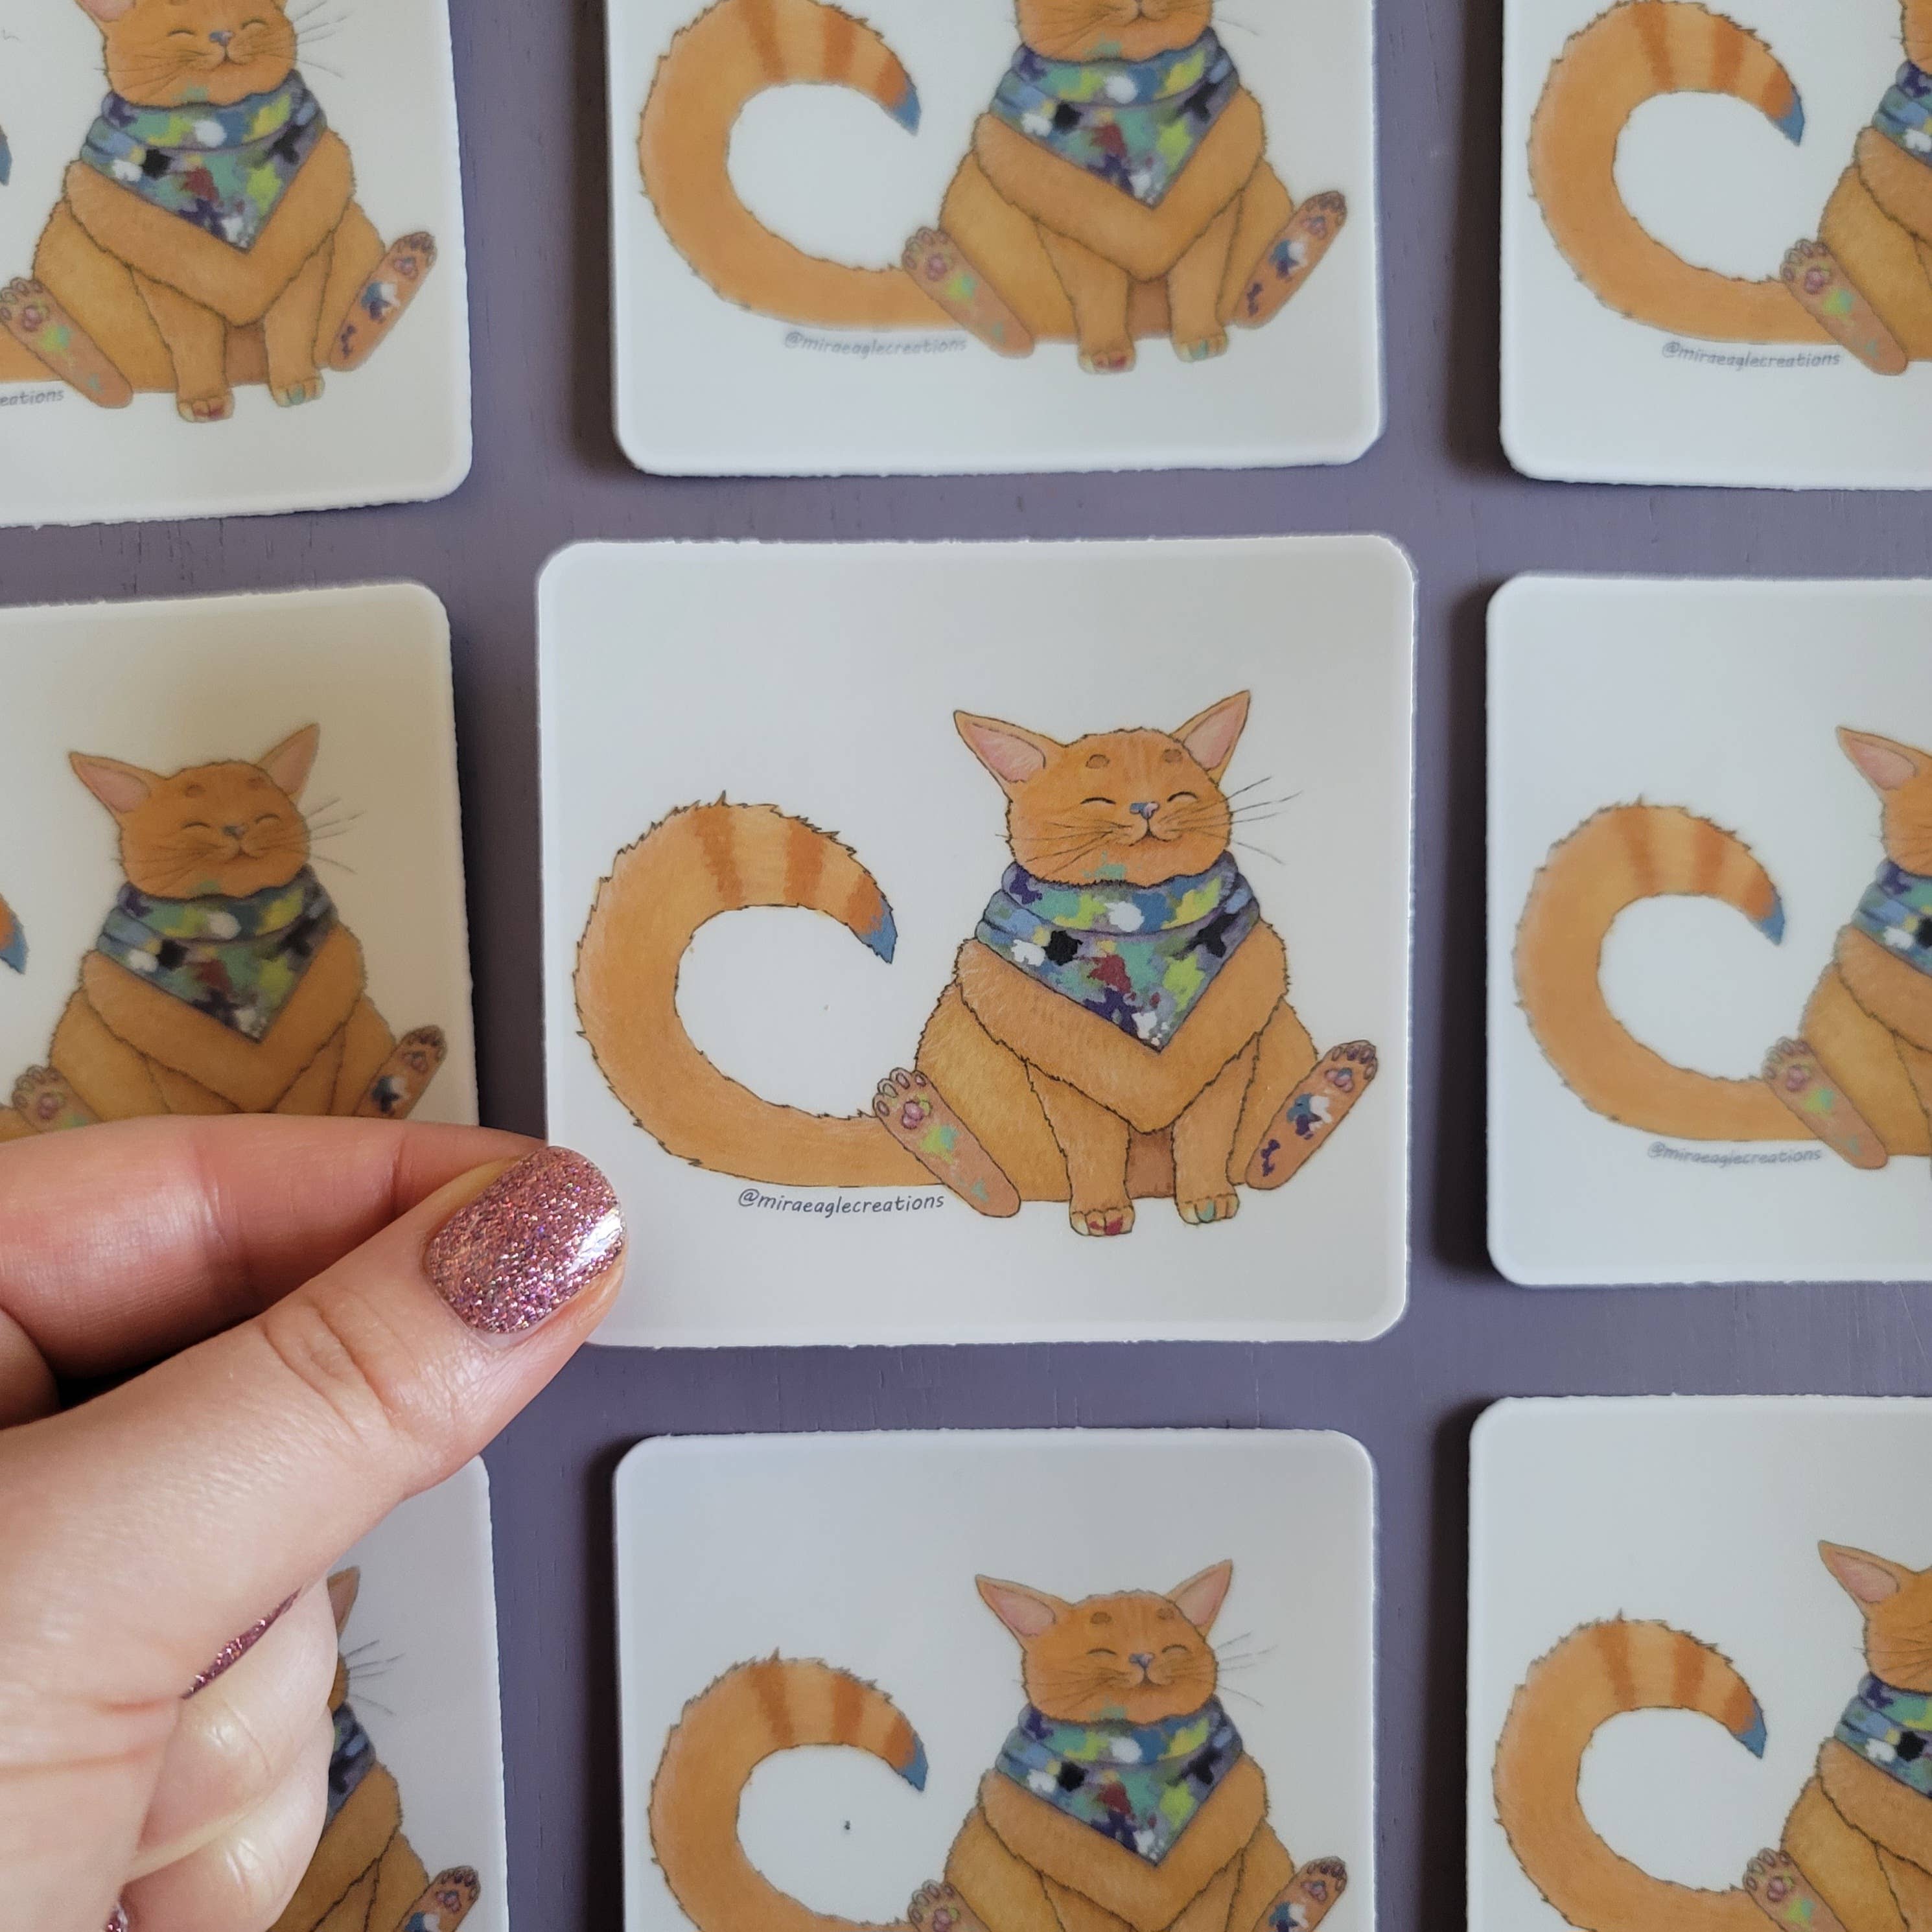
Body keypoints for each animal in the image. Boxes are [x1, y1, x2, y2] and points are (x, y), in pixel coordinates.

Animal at [0, 0, 438, 420]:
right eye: (180, 31)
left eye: (252, 23)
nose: (223, 34)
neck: (220, 139)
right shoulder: (168, 281)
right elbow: (193, 342)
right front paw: (205, 399)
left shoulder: (308, 255)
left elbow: (293, 327)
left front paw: (296, 382)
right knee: (116, 392)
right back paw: (34, 315)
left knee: (341, 354)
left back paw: (403, 267)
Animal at [0, 723, 446, 1141]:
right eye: (194, 825)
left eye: (265, 815)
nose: (237, 827)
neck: (232, 933)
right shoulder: (175, 1078)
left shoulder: (324, 1057)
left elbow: (316, 1113)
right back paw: (48, 1101)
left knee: (371, 1113)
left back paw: (411, 1064)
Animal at [575, 692, 1380, 1236]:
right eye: (1097, 796)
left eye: (1180, 789)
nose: (1149, 808)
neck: (1134, 931)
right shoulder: (1059, 1077)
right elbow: (1092, 1145)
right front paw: (1100, 1208)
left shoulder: (1231, 1056)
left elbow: (1208, 1135)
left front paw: (1206, 1197)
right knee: (1007, 1195)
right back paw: (924, 1122)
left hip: (1281, 1043)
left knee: (1256, 1153)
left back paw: (1322, 1098)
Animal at [638, 0, 1349, 371]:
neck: (1127, 99)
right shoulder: (1064, 229)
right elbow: (1096, 293)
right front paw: (1106, 351)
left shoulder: (1217, 206)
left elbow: (1198, 278)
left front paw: (1198, 340)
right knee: (1015, 327)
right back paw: (944, 272)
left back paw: (1305, 238)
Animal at [650, 1561, 1350, 1932]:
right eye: (1100, 1645)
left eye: (1172, 1640)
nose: (1144, 1657)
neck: (1133, 1769)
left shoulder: (1221, 1881)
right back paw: (941, 1913)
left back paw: (1308, 1892)